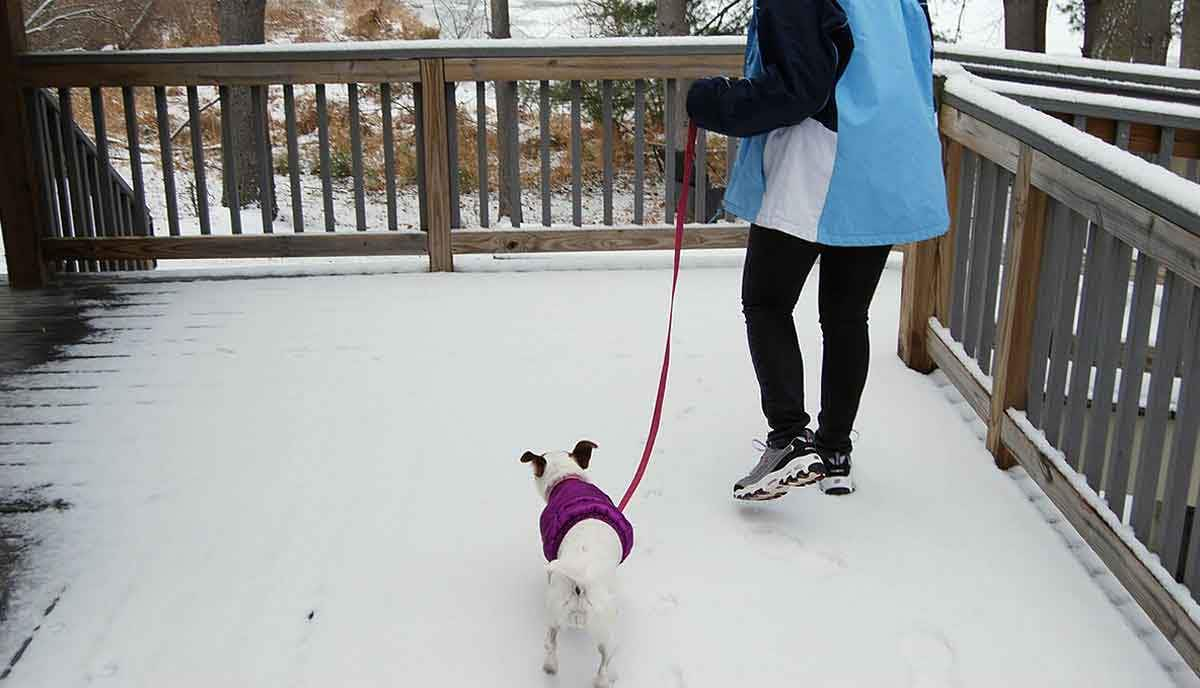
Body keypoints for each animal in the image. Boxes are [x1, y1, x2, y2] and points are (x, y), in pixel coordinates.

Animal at [523, 439, 638, 686]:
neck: (568, 480)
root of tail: (581, 579)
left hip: (555, 613)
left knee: (551, 643)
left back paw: (550, 669)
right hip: (607, 634)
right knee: (603, 665)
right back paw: (604, 680)